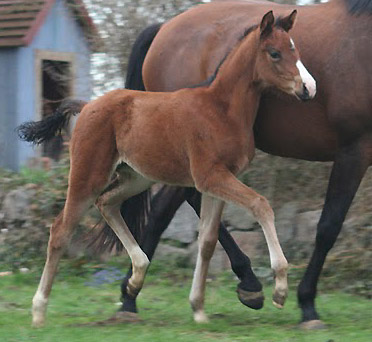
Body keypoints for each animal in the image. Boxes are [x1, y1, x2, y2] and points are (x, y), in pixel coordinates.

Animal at [18, 10, 316, 326]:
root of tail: (87, 106)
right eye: (275, 53)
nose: (308, 88)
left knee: (107, 203)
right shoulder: (210, 176)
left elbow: (207, 241)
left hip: (137, 177)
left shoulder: (218, 180)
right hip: (88, 174)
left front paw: (198, 308)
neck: (221, 109)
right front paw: (280, 290)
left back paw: (136, 276)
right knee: (61, 229)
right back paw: (39, 311)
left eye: (295, 49)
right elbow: (261, 205)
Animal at [110, 0, 372, 330]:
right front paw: (307, 304)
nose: (309, 88)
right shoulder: (354, 150)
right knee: (175, 205)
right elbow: (328, 227)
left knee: (171, 207)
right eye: (275, 53)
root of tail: (163, 28)